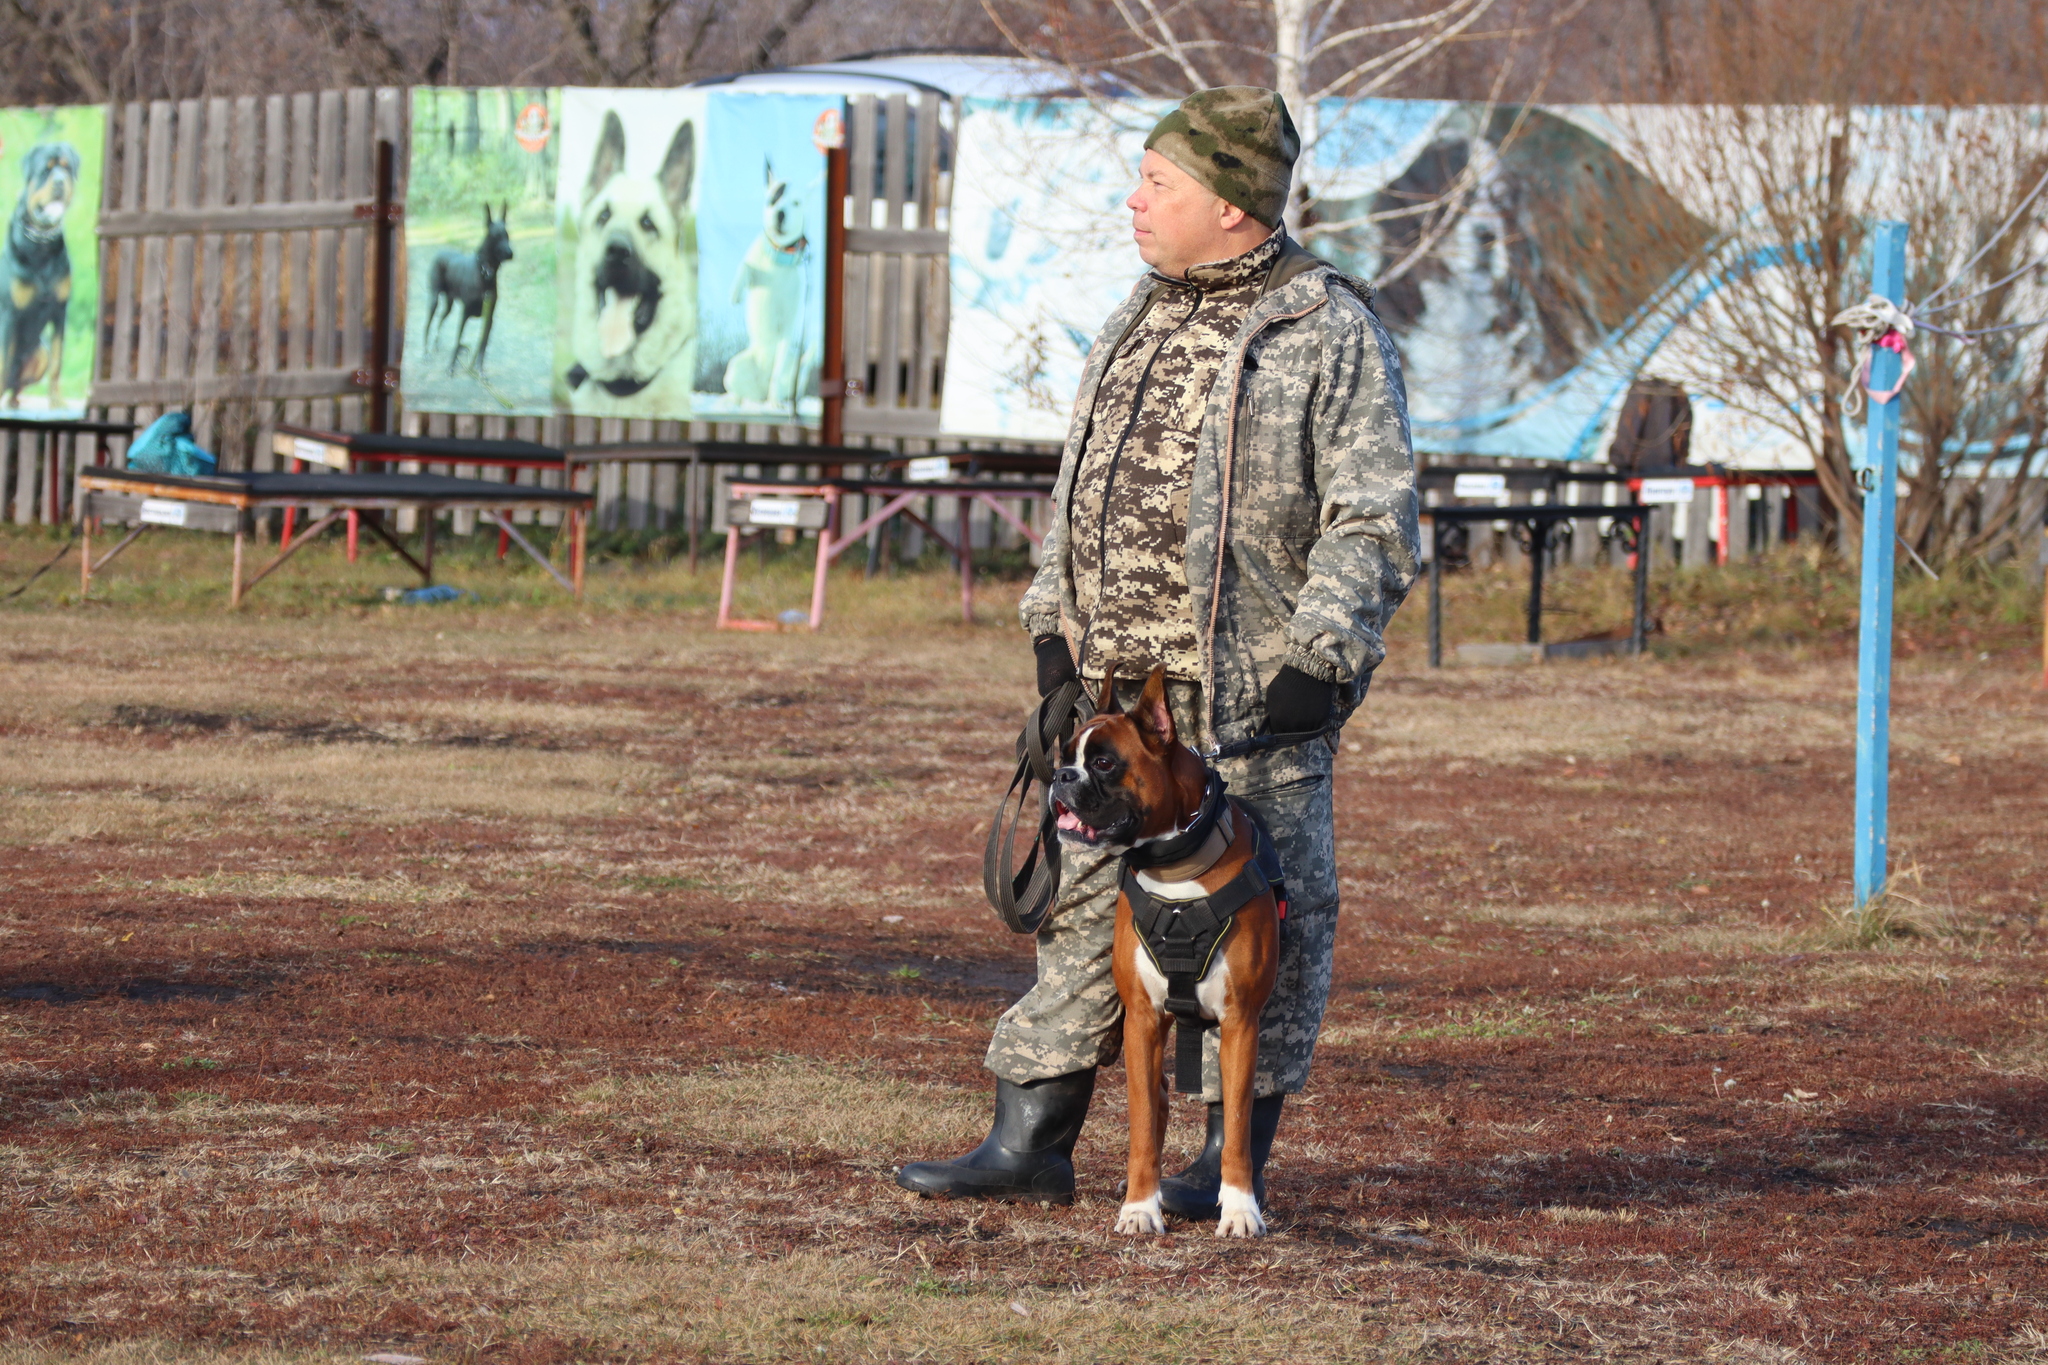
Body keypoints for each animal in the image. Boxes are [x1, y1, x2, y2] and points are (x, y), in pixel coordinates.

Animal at [1056, 663, 1277, 1236]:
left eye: (1103, 762)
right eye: (1065, 755)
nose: (1060, 778)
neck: (1175, 868)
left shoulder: (1241, 1023)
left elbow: (1238, 1125)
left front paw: (1240, 1208)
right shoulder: (1142, 1019)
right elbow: (1141, 1127)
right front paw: (1140, 1207)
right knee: (1152, 1107)